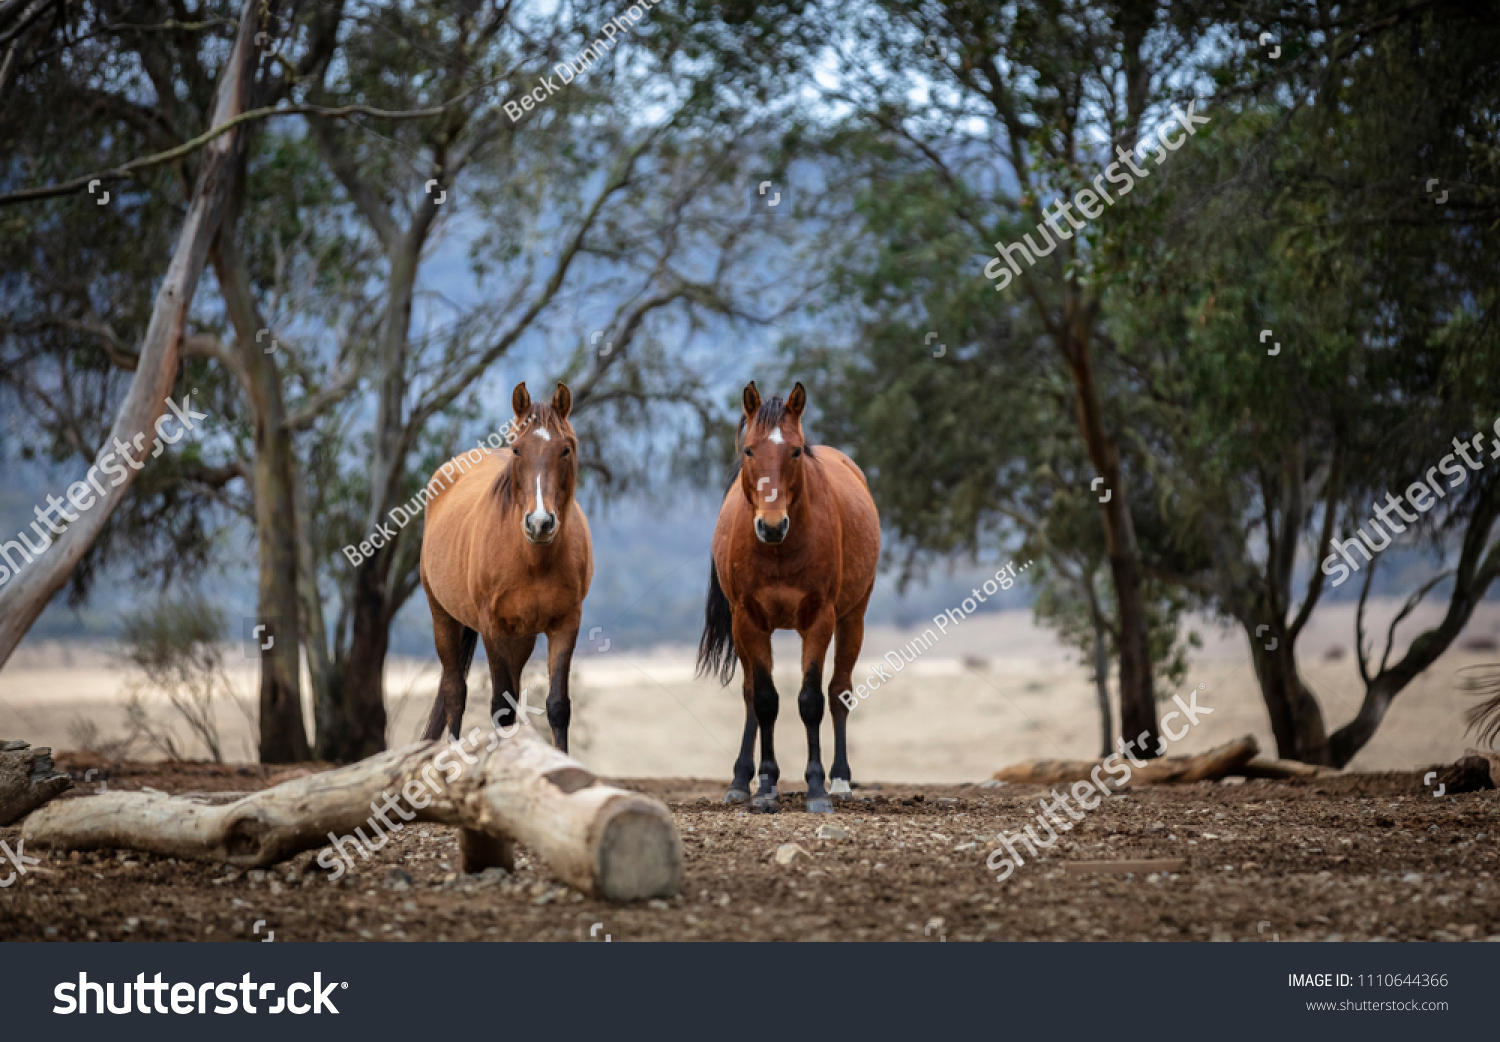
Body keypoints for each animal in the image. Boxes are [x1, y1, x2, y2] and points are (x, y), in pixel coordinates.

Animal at [423, 380, 591, 749]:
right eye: (516, 450)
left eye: (566, 449)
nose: (540, 523)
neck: (534, 560)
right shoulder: (492, 628)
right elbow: (501, 707)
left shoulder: (565, 624)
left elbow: (558, 706)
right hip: (443, 617)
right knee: (454, 691)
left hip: (521, 639)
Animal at [699, 383, 882, 815]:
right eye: (750, 450)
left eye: (796, 451)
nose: (771, 526)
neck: (779, 551)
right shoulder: (748, 619)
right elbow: (764, 699)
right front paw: (765, 786)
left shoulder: (819, 618)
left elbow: (811, 699)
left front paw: (816, 789)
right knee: (750, 695)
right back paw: (740, 781)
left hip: (853, 618)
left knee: (840, 692)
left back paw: (841, 781)